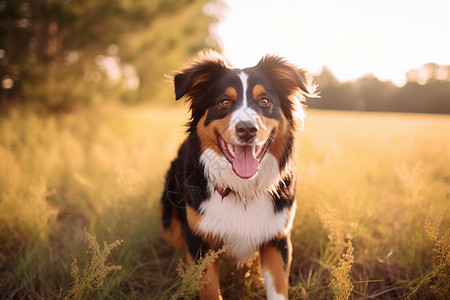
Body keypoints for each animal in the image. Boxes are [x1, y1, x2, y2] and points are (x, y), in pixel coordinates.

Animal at [162, 50, 316, 298]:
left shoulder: (277, 239)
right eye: (224, 102)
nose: (247, 129)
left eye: (265, 101)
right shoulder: (200, 240)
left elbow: (278, 288)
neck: (242, 188)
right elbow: (210, 289)